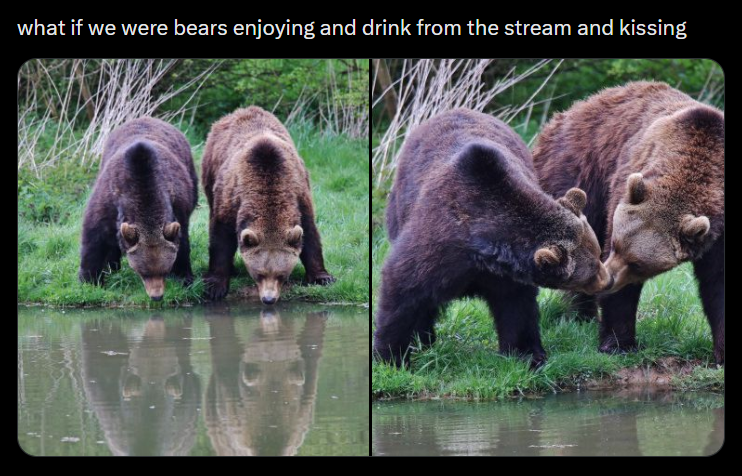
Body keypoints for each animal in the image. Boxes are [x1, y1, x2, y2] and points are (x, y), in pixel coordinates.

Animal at [79, 117, 197, 301]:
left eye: (164, 270)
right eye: (143, 272)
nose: (157, 296)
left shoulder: (178, 206)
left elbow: (182, 243)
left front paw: (184, 278)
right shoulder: (108, 202)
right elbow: (94, 240)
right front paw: (90, 281)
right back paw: (113, 266)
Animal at [201, 106, 334, 304]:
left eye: (281, 275)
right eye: (259, 274)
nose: (268, 299)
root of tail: (241, 110)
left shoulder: (300, 195)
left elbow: (310, 235)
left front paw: (322, 277)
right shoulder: (231, 199)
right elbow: (220, 238)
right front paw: (215, 286)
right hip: (210, 171)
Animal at [373, 108, 613, 368]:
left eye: (598, 252)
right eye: (591, 269)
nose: (608, 280)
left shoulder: (507, 274)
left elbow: (516, 306)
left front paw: (528, 354)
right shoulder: (437, 242)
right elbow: (403, 287)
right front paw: (391, 356)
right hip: (399, 206)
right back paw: (424, 338)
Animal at [532, 81, 724, 364]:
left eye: (637, 262)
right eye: (614, 244)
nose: (608, 279)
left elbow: (718, 282)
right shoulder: (623, 181)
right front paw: (618, 344)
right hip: (579, 172)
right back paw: (583, 315)